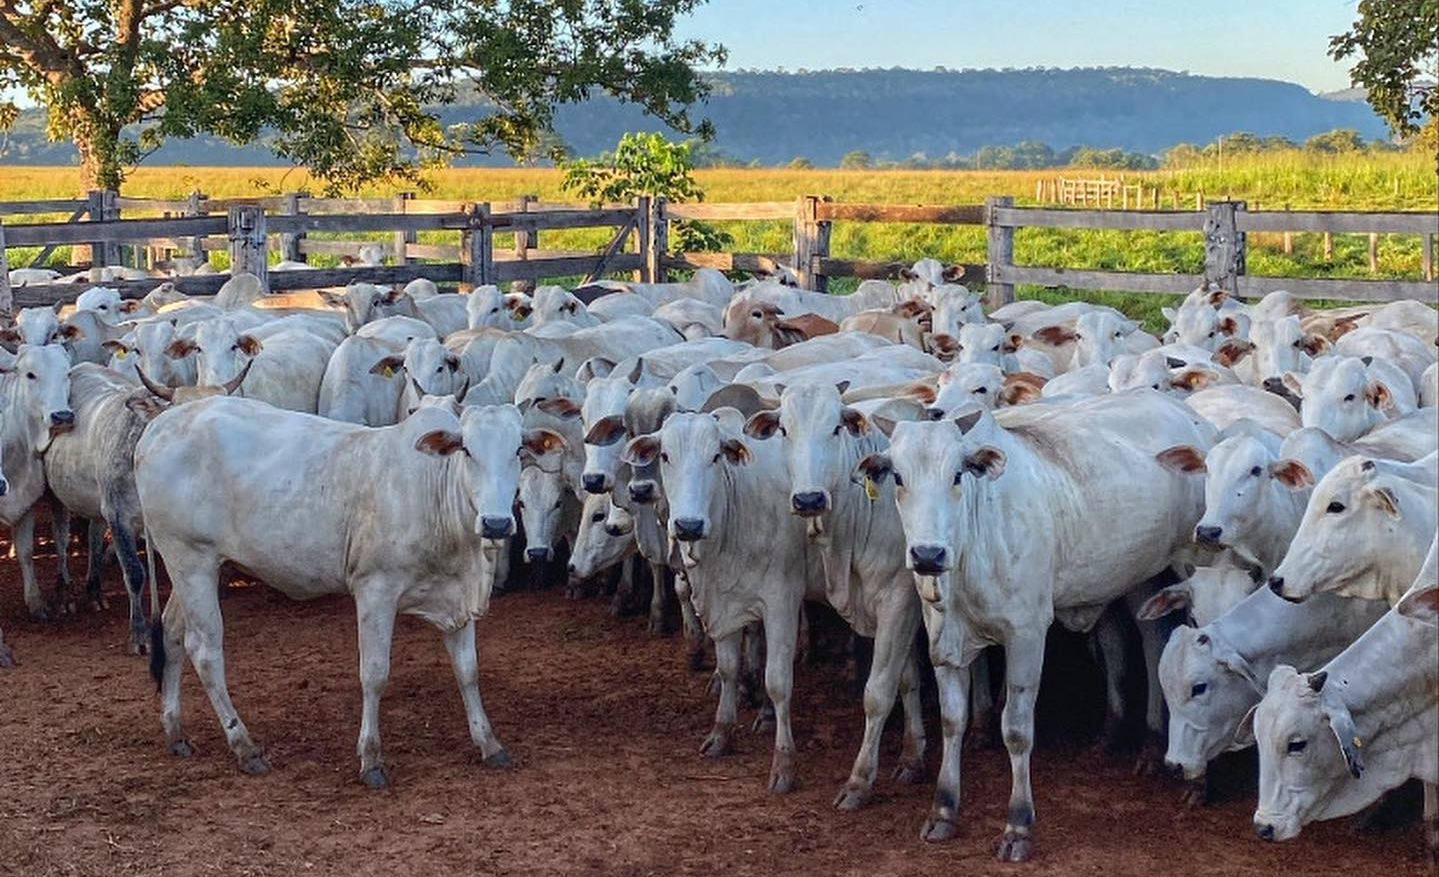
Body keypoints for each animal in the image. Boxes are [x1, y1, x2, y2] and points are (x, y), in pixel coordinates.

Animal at [857, 388, 1220, 852]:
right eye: (899, 478)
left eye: (957, 475)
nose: (928, 554)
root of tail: (1192, 417)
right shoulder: (942, 637)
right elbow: (952, 720)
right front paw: (943, 809)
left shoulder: (1026, 633)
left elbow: (1016, 728)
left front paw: (1018, 824)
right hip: (1139, 574)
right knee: (1153, 637)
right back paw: (1149, 746)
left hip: (1199, 565)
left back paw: (1198, 779)